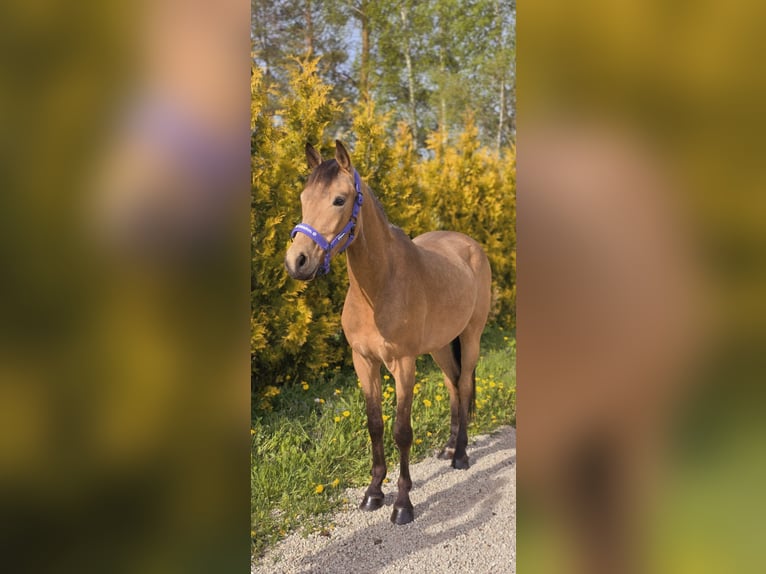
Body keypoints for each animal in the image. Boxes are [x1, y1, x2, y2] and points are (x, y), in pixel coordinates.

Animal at [285, 140, 492, 525]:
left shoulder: (403, 364)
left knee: (464, 384)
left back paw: (460, 455)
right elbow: (375, 425)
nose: (297, 261)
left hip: (471, 337)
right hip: (440, 346)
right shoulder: (364, 362)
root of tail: (470, 245)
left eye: (339, 200)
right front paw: (373, 492)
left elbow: (401, 431)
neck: (379, 287)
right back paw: (448, 447)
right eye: (304, 197)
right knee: (452, 386)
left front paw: (402, 504)